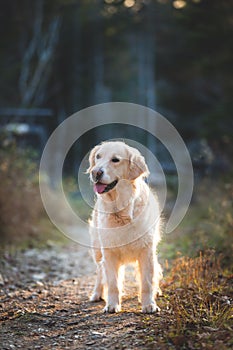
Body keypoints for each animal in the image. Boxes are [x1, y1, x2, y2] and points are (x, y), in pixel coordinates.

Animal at [87, 141, 162, 314]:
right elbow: (113, 283)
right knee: (100, 272)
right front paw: (112, 305)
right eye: (98, 157)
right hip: (97, 249)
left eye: (115, 160)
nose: (95, 172)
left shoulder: (147, 251)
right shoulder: (109, 252)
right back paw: (96, 294)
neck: (121, 211)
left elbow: (147, 282)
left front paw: (149, 304)